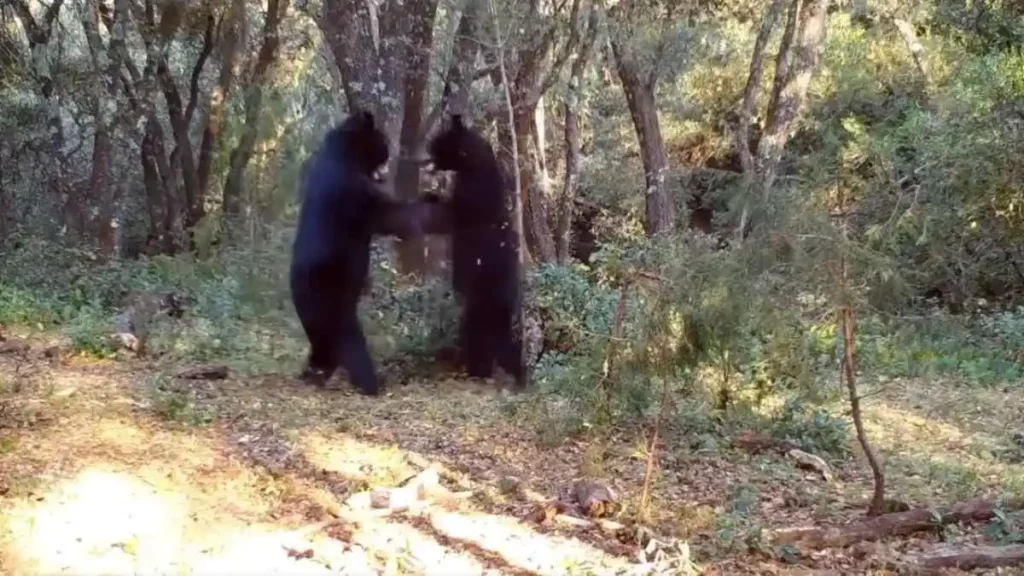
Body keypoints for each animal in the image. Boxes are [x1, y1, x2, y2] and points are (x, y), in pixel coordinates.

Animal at [288, 109, 436, 391]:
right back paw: (370, 381)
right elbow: (389, 214)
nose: (389, 157)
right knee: (347, 337)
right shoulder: (352, 192)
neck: (345, 154)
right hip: (331, 292)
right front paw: (426, 202)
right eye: (382, 143)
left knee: (323, 341)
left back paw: (315, 371)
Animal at [423, 113, 528, 387]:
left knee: (481, 337)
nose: (426, 157)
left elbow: (452, 212)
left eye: (439, 142)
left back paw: (482, 371)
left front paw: (428, 194)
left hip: (482, 302)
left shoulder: (472, 196)